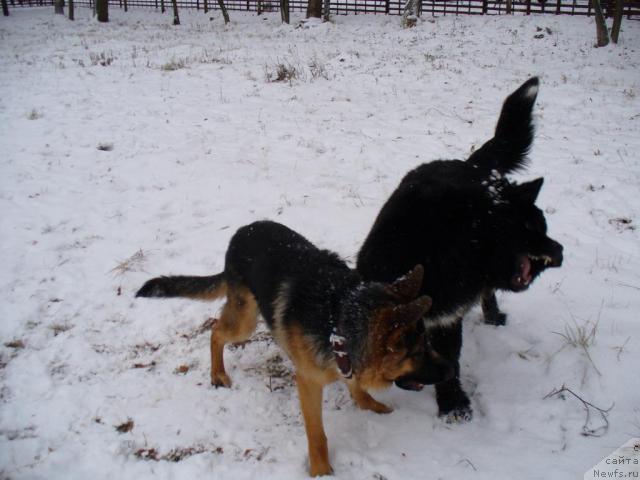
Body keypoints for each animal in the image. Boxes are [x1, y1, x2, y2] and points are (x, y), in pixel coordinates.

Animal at [137, 221, 452, 476]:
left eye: (428, 344)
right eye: (418, 352)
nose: (451, 371)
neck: (337, 319)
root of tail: (241, 231)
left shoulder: (344, 360)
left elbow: (355, 385)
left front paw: (368, 404)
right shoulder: (308, 383)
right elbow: (317, 434)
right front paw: (321, 470)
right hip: (245, 321)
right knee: (215, 331)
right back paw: (218, 374)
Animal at [358, 77, 564, 422]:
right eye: (533, 228)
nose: (561, 251)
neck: (447, 245)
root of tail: (472, 165)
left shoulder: (446, 319)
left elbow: (449, 363)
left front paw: (452, 403)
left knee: (487, 293)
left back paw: (493, 316)